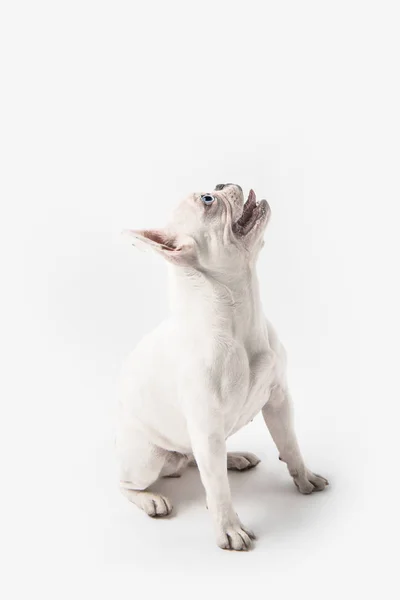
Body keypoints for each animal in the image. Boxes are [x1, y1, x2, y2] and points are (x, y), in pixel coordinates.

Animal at [118, 184, 328, 552]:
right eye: (208, 201)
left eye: (211, 192)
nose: (220, 185)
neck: (239, 315)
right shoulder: (206, 425)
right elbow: (217, 489)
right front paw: (229, 529)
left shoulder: (279, 400)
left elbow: (290, 445)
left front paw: (304, 478)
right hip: (147, 458)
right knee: (129, 483)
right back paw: (151, 499)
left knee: (196, 459)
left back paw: (234, 457)